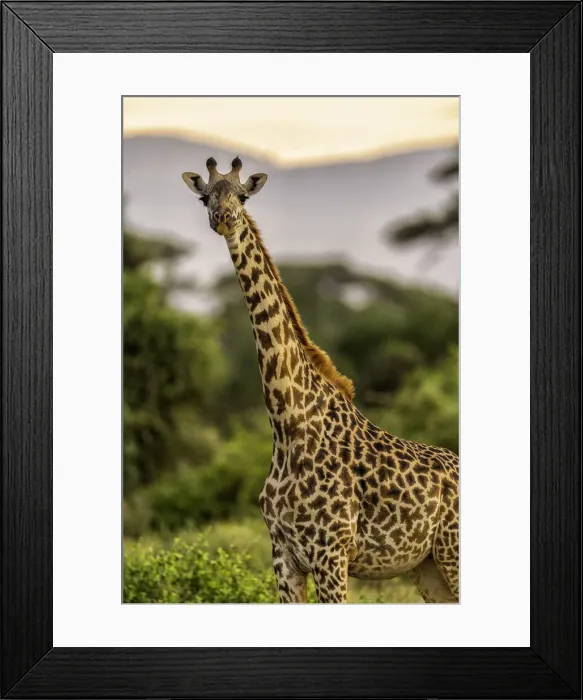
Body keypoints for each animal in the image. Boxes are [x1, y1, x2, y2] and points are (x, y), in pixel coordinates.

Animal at [182, 157, 459, 604]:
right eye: (205, 197)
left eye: (242, 196)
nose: (224, 219)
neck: (289, 424)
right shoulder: (283, 557)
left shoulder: (332, 553)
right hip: (428, 566)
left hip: (452, 554)